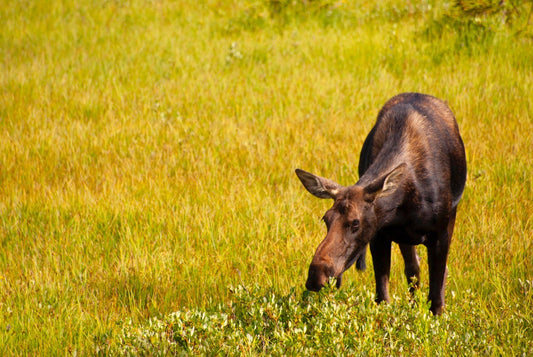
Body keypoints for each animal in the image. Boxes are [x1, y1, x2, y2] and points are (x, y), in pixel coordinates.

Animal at [296, 92, 466, 314]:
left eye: (355, 223)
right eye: (325, 219)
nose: (316, 276)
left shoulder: (441, 232)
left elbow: (436, 299)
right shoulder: (380, 235)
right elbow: (383, 298)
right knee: (413, 267)